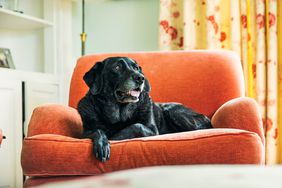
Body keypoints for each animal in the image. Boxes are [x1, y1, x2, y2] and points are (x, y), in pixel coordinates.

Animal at [77, 57, 212, 162]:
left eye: (136, 68)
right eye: (117, 67)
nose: (140, 78)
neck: (119, 114)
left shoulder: (152, 131)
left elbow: (136, 126)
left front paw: (113, 138)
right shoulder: (83, 134)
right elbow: (97, 130)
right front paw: (102, 143)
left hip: (174, 112)